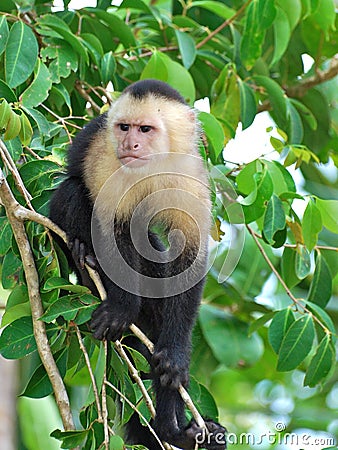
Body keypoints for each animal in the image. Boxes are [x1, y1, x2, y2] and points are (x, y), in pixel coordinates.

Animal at [48, 79, 226, 448]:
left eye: (145, 129)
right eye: (124, 127)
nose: (130, 144)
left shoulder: (189, 173)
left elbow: (188, 255)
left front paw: (174, 356)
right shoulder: (107, 162)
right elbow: (112, 230)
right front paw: (121, 310)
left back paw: (173, 428)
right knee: (70, 193)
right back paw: (84, 259)